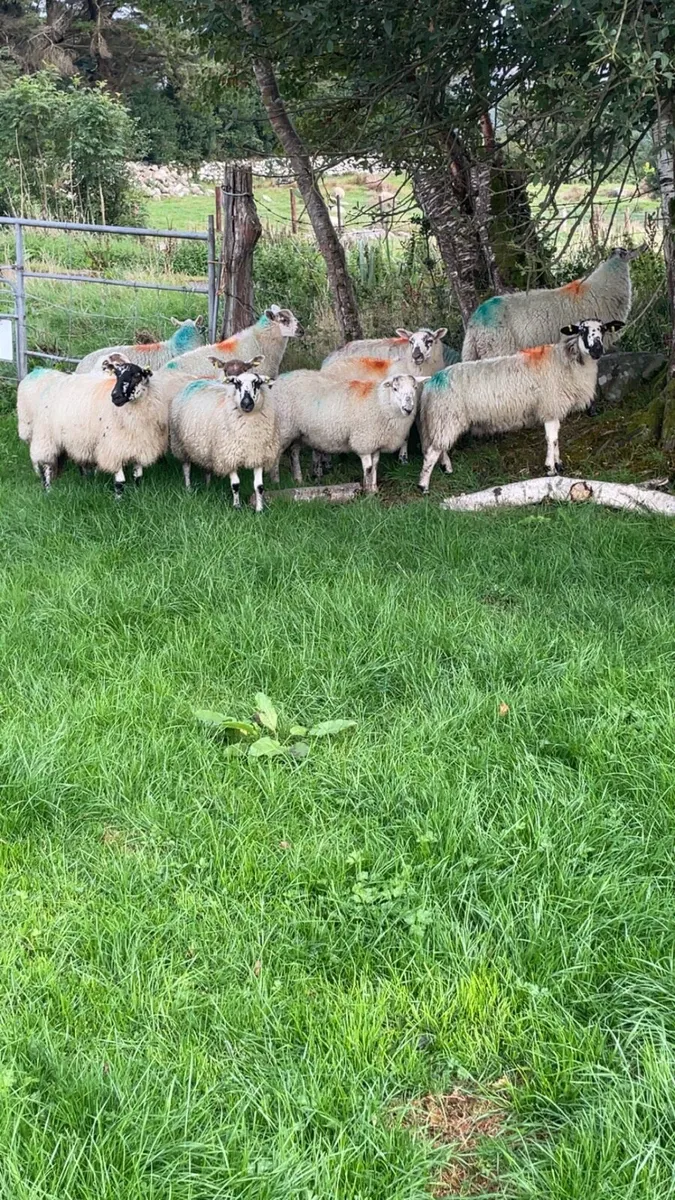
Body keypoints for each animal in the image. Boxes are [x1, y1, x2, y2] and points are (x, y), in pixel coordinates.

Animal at [18, 359, 173, 497]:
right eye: (116, 375)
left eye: (136, 376)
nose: (115, 396)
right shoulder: (113, 447)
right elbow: (120, 482)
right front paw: (118, 500)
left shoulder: (140, 445)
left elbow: (138, 476)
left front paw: (137, 493)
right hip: (46, 436)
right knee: (46, 465)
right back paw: (48, 490)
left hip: (75, 438)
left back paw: (84, 479)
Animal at [170, 370, 279, 513]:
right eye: (237, 383)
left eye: (258, 383)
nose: (246, 404)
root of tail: (195, 380)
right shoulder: (228, 455)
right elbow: (235, 484)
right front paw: (237, 506)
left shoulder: (258, 455)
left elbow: (259, 486)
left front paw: (259, 509)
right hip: (180, 445)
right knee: (186, 468)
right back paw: (188, 489)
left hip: (206, 448)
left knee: (207, 467)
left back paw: (208, 486)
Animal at [267, 370, 422, 493]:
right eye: (395, 388)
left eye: (415, 388)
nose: (408, 409)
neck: (380, 402)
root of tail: (278, 380)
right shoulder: (363, 441)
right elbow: (369, 468)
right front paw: (368, 492)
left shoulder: (375, 442)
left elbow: (375, 466)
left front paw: (374, 488)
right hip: (283, 428)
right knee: (277, 453)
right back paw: (276, 481)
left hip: (298, 431)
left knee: (294, 452)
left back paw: (298, 479)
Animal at [418, 318, 625, 492]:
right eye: (582, 330)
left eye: (603, 329)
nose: (597, 350)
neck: (567, 361)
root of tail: (432, 381)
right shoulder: (549, 406)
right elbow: (551, 438)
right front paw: (550, 468)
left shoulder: (554, 408)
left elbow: (556, 438)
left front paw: (559, 464)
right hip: (446, 416)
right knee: (431, 452)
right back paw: (423, 486)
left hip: (443, 419)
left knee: (440, 447)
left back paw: (447, 468)